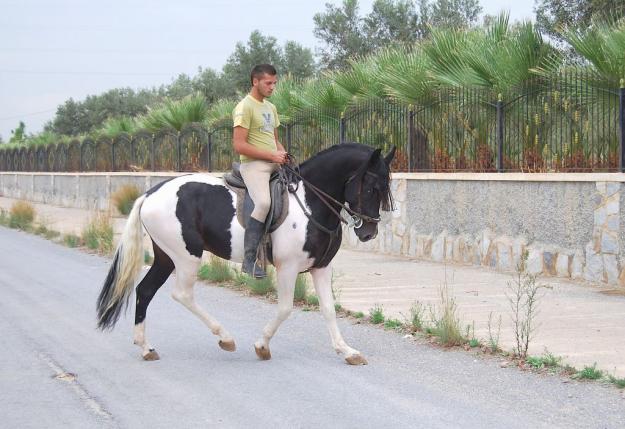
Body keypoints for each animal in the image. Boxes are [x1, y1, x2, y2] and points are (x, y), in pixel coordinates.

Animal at [97, 144, 394, 364]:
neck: (310, 202)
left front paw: (347, 351)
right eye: (371, 187)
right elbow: (285, 309)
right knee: (182, 294)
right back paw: (225, 338)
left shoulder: (321, 267)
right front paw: (262, 346)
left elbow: (329, 309)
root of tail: (150, 194)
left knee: (145, 290)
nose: (369, 233)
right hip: (185, 256)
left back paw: (146, 348)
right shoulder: (288, 268)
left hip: (166, 257)